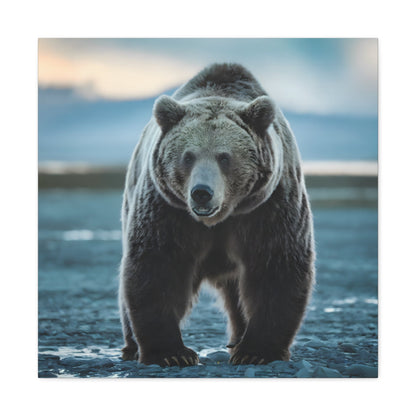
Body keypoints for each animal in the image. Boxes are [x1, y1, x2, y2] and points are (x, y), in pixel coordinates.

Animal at [118, 62, 314, 368]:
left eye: (224, 157)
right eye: (188, 156)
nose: (202, 192)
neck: (219, 219)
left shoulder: (268, 208)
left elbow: (276, 266)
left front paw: (256, 351)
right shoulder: (169, 211)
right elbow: (157, 265)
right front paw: (172, 353)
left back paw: (237, 341)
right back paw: (131, 347)